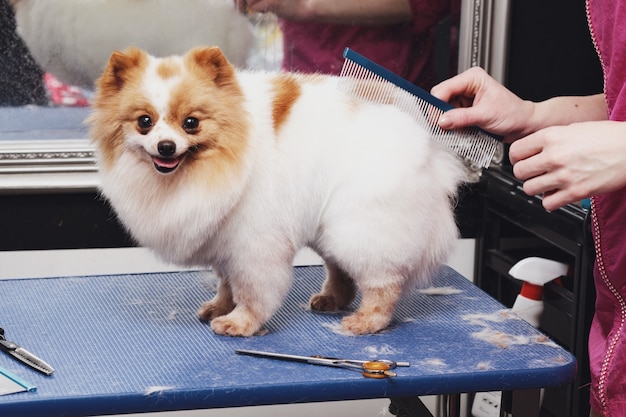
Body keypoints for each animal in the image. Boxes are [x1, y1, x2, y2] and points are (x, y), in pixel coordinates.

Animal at [90, 46, 466, 334]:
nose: (166, 147)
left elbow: (252, 290)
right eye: (145, 122)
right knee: (340, 269)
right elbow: (225, 282)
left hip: (362, 224)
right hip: (329, 225)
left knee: (382, 282)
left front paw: (240, 323)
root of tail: (423, 136)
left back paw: (366, 321)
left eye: (191, 123)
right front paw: (219, 307)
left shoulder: (254, 243)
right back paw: (332, 300)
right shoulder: (224, 238)